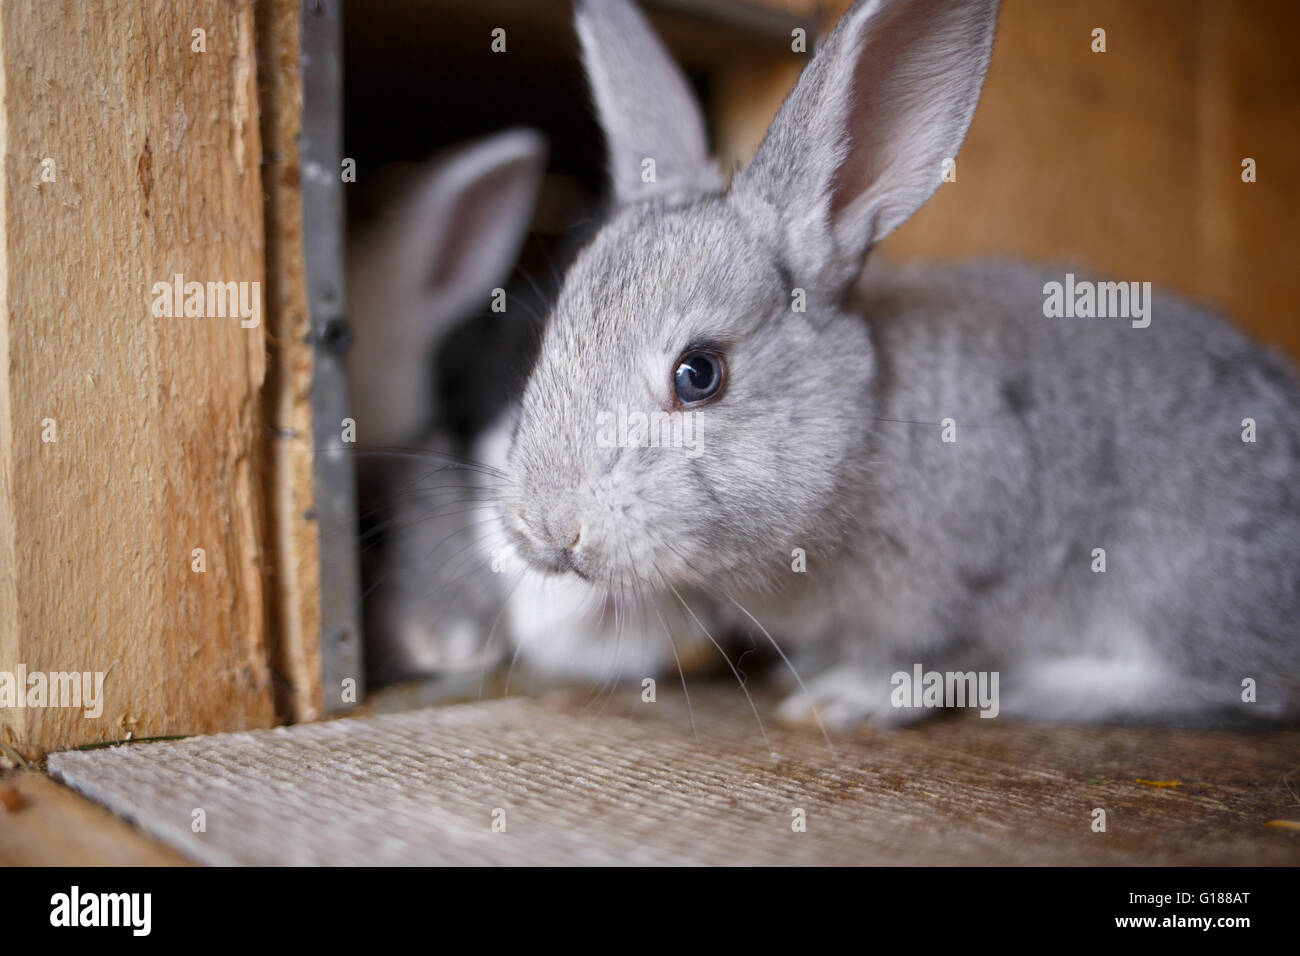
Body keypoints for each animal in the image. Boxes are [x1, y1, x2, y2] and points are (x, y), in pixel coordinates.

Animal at [491, 0, 1294, 728]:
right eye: (550, 339)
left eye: (698, 375)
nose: (550, 529)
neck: (860, 441)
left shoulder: (974, 580)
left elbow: (931, 659)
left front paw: (843, 699)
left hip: (1180, 580)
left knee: (1241, 685)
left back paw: (1043, 689)